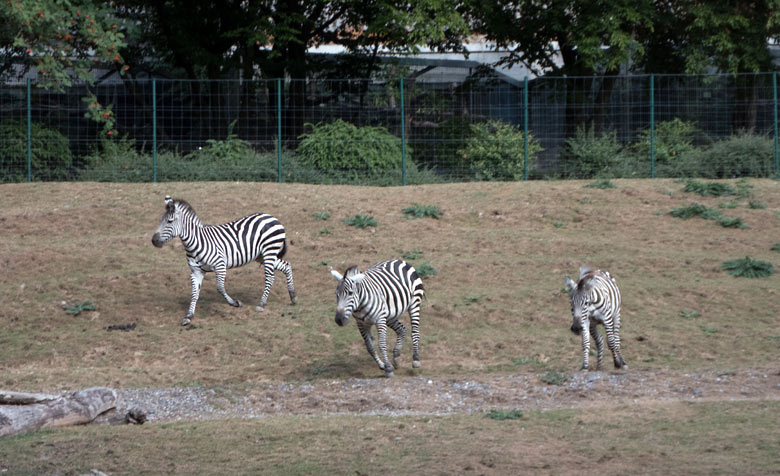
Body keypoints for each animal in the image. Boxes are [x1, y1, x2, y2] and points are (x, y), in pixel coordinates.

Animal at [152, 195, 296, 326]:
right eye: (161, 220)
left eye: (169, 221)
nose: (154, 241)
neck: (196, 242)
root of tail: (271, 216)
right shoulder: (196, 272)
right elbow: (194, 294)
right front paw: (189, 316)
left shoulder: (220, 265)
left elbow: (220, 288)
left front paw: (235, 303)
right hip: (261, 255)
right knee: (286, 265)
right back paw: (293, 297)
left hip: (268, 251)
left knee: (270, 277)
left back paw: (262, 304)